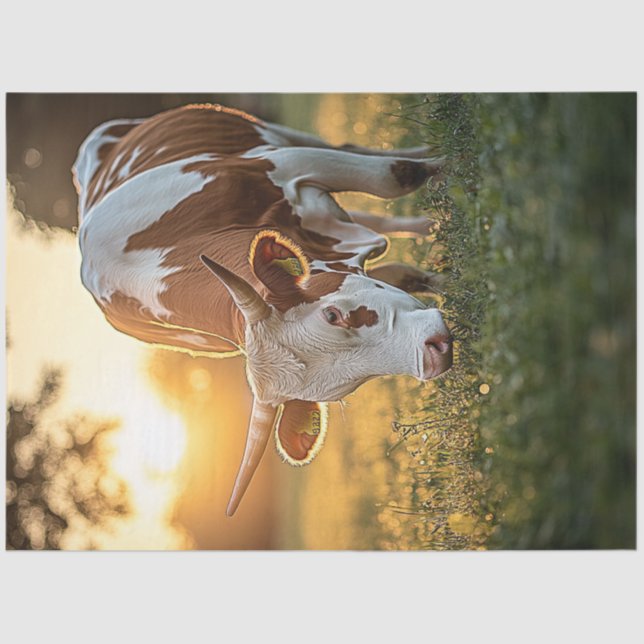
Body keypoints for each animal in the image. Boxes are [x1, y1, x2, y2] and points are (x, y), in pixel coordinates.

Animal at [72, 103, 453, 516]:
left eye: (333, 315)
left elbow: (397, 177)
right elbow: (405, 274)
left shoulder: (280, 162)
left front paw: (456, 160)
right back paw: (426, 224)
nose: (432, 353)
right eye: (340, 388)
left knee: (354, 152)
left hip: (273, 135)